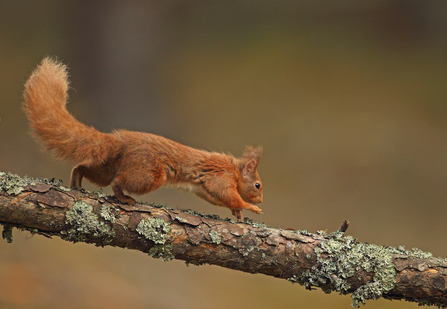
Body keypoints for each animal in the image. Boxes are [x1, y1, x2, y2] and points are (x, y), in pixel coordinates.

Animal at [22, 56, 264, 218]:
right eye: (258, 185)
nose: (261, 199)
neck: (235, 170)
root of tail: (120, 141)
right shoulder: (220, 177)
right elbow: (226, 194)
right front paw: (250, 207)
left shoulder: (203, 189)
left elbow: (218, 198)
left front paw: (237, 212)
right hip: (149, 174)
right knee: (117, 182)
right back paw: (124, 198)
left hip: (106, 168)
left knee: (82, 167)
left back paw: (75, 184)